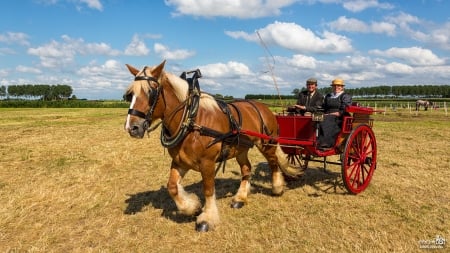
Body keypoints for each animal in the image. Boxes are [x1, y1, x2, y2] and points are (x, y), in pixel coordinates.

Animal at [123, 59, 302, 231]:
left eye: (151, 91)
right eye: (129, 95)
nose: (132, 127)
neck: (191, 121)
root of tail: (263, 107)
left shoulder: (207, 163)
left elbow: (208, 190)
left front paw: (207, 219)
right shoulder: (180, 161)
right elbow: (172, 186)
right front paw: (192, 207)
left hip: (267, 144)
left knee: (273, 163)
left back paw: (277, 188)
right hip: (241, 149)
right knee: (247, 169)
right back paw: (240, 198)